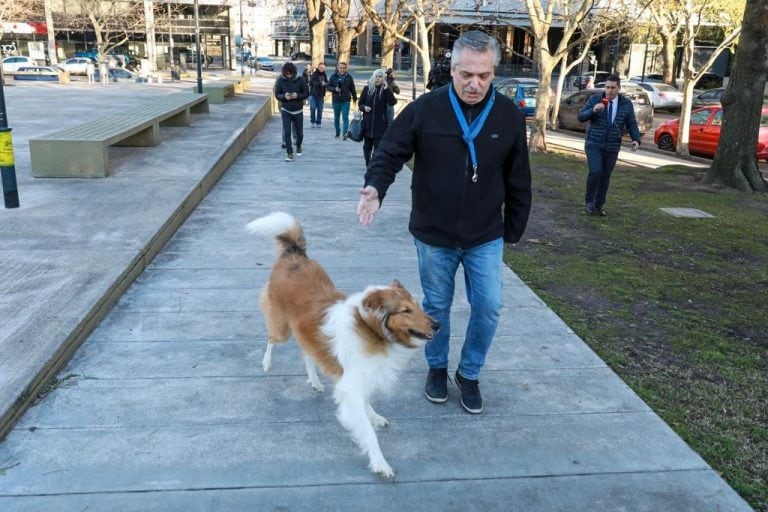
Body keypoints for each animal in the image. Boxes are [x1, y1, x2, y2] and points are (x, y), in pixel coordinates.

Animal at [246, 211, 438, 476]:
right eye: (405, 310)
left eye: (417, 306)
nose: (438, 325)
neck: (371, 329)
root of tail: (295, 254)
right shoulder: (352, 384)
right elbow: (367, 431)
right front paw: (380, 463)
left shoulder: (360, 377)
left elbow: (366, 405)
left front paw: (374, 416)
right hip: (281, 328)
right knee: (272, 340)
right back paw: (267, 363)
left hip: (307, 333)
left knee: (308, 355)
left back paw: (315, 382)